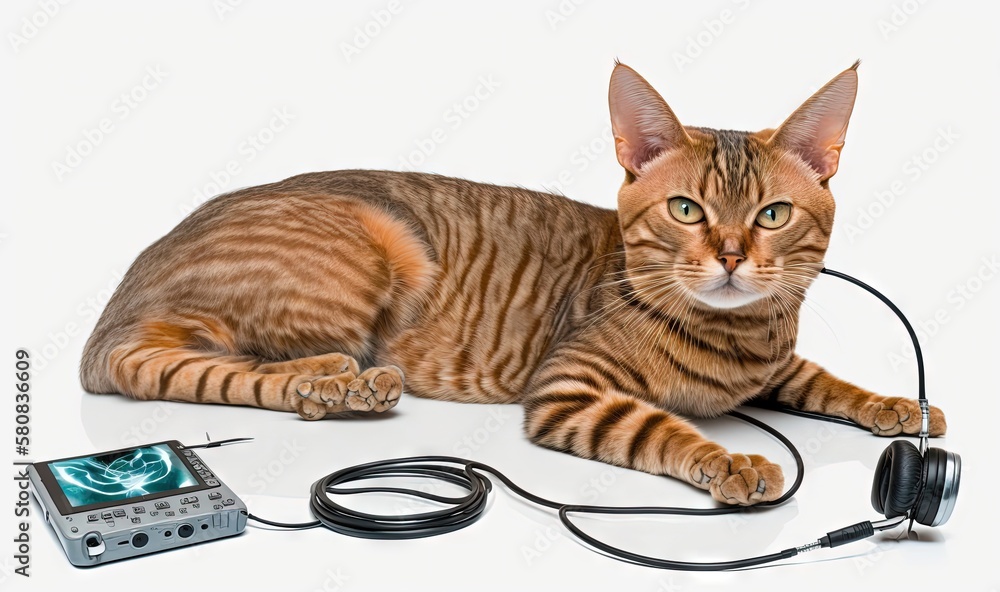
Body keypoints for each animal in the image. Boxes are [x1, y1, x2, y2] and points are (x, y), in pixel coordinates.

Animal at [80, 61, 944, 504]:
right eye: (686, 209)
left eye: (771, 214)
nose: (731, 257)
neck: (738, 335)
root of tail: (123, 292)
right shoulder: (568, 389)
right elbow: (660, 427)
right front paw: (731, 462)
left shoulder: (777, 365)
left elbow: (828, 380)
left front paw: (897, 403)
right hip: (373, 250)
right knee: (227, 359)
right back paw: (334, 380)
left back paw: (335, 385)